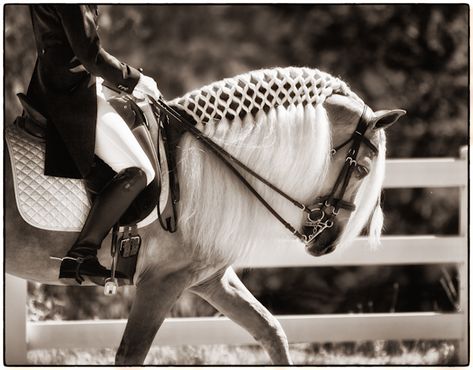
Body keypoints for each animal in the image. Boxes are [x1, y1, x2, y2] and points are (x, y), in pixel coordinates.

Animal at [3, 66, 404, 364]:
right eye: (363, 170)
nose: (327, 243)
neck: (202, 164)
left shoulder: (209, 278)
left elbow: (271, 331)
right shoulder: (161, 282)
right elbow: (131, 354)